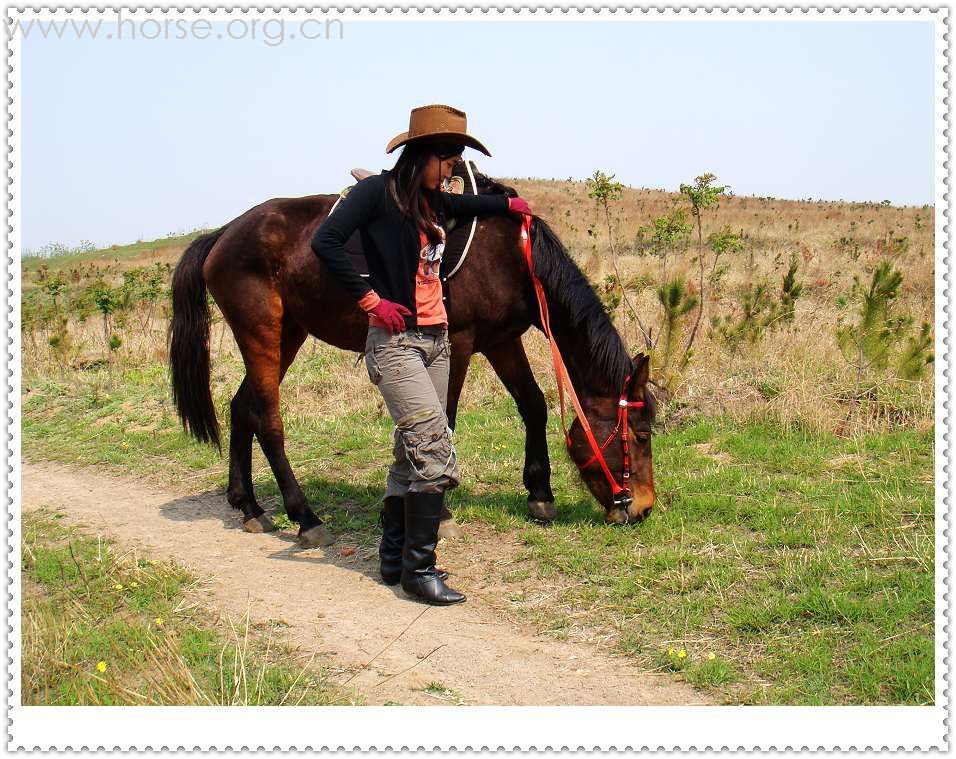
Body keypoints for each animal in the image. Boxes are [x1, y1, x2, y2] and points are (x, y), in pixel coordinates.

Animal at [168, 165, 652, 548]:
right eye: (642, 435)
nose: (643, 508)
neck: (509, 255)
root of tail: (221, 235)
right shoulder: (458, 344)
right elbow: (444, 422)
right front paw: (441, 513)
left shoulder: (500, 341)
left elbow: (533, 405)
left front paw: (540, 493)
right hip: (262, 335)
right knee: (268, 422)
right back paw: (305, 517)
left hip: (288, 335)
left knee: (241, 408)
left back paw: (248, 505)